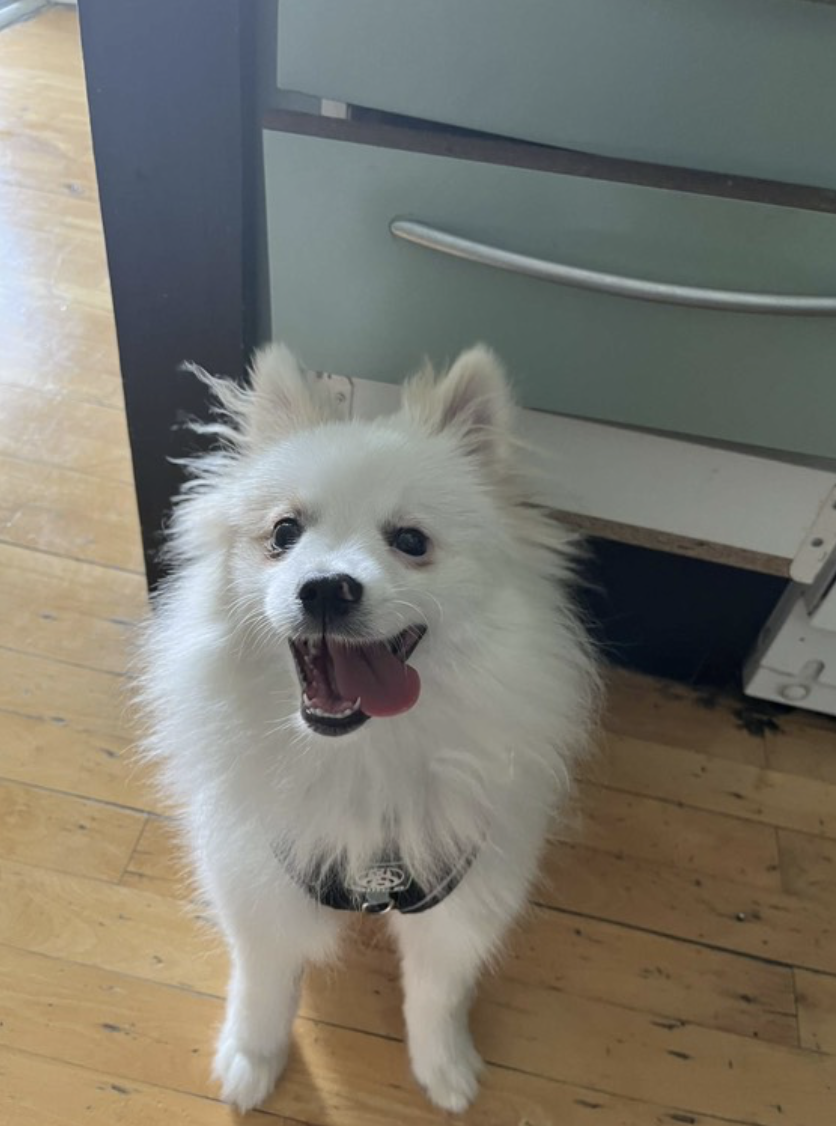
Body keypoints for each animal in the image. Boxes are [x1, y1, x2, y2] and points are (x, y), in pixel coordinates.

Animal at [138, 343, 597, 1113]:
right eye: (283, 533)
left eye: (411, 540)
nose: (326, 587)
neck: (364, 757)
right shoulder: (255, 871)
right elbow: (263, 976)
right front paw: (251, 1058)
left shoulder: (464, 885)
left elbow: (438, 992)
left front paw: (445, 1068)